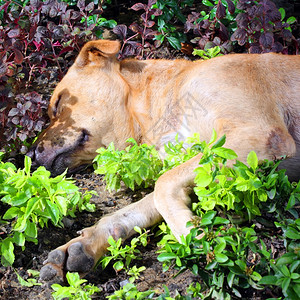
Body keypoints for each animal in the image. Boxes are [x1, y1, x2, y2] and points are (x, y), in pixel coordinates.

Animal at [27, 40, 298, 282]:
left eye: (57, 104)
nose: (30, 156)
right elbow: (139, 207)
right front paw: (86, 243)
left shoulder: (260, 134)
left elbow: (163, 184)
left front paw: (193, 235)